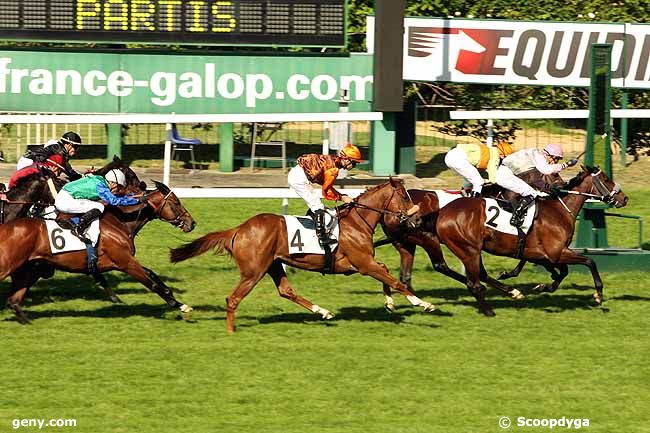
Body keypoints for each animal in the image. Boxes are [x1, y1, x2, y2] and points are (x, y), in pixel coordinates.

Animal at [1, 181, 195, 322]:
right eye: (176, 202)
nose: (192, 223)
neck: (119, 221)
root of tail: (5, 227)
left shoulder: (123, 261)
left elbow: (152, 274)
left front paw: (177, 301)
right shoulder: (125, 262)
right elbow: (152, 283)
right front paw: (175, 304)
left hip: (31, 270)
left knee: (13, 301)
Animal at [170, 177, 432, 332]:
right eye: (405, 196)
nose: (418, 220)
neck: (357, 221)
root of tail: (238, 230)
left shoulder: (361, 264)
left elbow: (387, 272)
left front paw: (390, 303)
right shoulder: (363, 264)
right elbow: (395, 280)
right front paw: (423, 303)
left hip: (274, 265)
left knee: (286, 291)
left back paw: (323, 311)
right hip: (254, 272)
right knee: (233, 299)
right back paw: (231, 332)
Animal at [378, 169, 564, 310]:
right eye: (555, 175)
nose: (562, 188)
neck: (505, 196)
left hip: (405, 243)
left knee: (406, 276)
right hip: (428, 239)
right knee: (440, 266)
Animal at [432, 167, 624, 316]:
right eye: (606, 179)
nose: (624, 198)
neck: (560, 210)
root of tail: (442, 213)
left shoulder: (543, 254)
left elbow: (561, 272)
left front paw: (544, 287)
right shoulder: (556, 253)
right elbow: (589, 262)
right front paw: (598, 295)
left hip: (473, 250)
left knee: (478, 276)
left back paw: (510, 293)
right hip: (469, 251)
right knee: (473, 282)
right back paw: (490, 310)